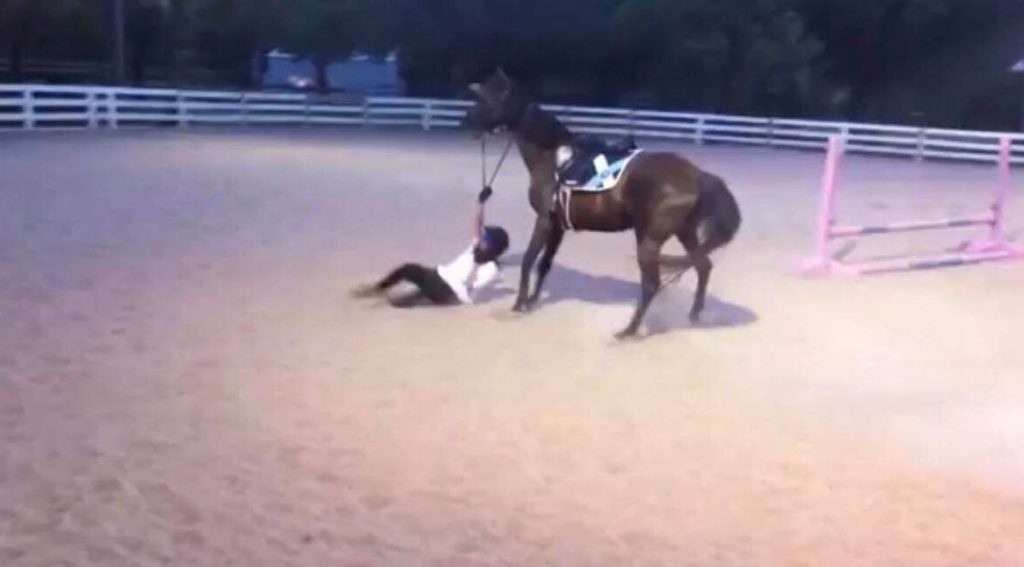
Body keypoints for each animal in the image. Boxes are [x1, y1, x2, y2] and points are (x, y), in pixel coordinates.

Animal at [463, 69, 742, 339]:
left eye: (486, 99)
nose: (466, 122)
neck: (552, 159)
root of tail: (698, 175)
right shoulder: (558, 226)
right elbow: (544, 264)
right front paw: (531, 301)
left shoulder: (543, 220)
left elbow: (529, 260)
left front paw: (519, 304)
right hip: (684, 232)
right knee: (703, 266)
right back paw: (693, 315)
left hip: (649, 239)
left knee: (652, 284)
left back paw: (629, 330)